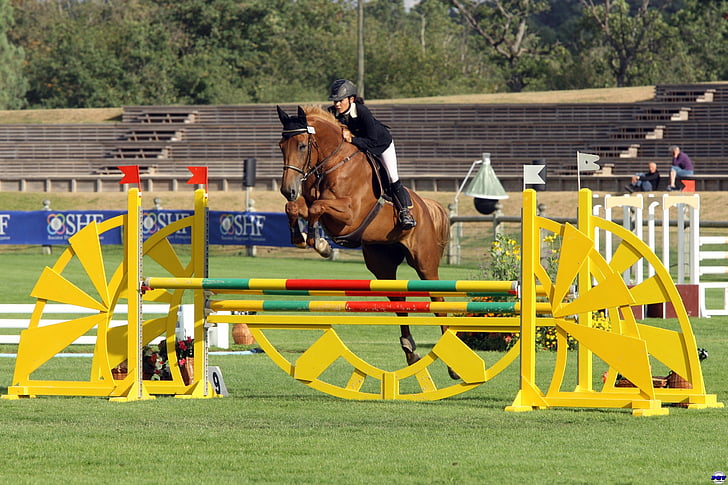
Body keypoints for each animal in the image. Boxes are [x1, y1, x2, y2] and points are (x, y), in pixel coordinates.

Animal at [278, 107, 452, 370]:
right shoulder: (311, 204)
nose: (287, 189)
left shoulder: (348, 215)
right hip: (382, 264)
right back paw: (410, 351)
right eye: (281, 146)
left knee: (438, 301)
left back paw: (450, 363)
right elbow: (295, 207)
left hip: (425, 262)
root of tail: (426, 205)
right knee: (398, 300)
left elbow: (317, 207)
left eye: (301, 145)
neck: (332, 164)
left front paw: (320, 244)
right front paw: (302, 237)